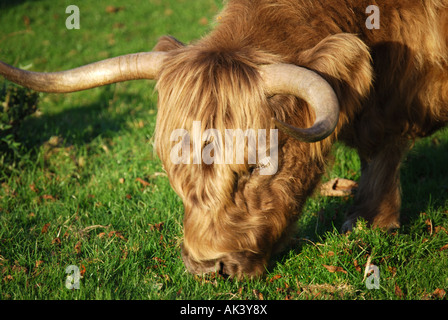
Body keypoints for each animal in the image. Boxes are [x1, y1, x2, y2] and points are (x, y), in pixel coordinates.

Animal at [0, 0, 448, 278]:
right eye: (172, 169)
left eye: (255, 166)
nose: (206, 267)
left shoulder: (398, 99)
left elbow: (383, 150)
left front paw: (371, 222)